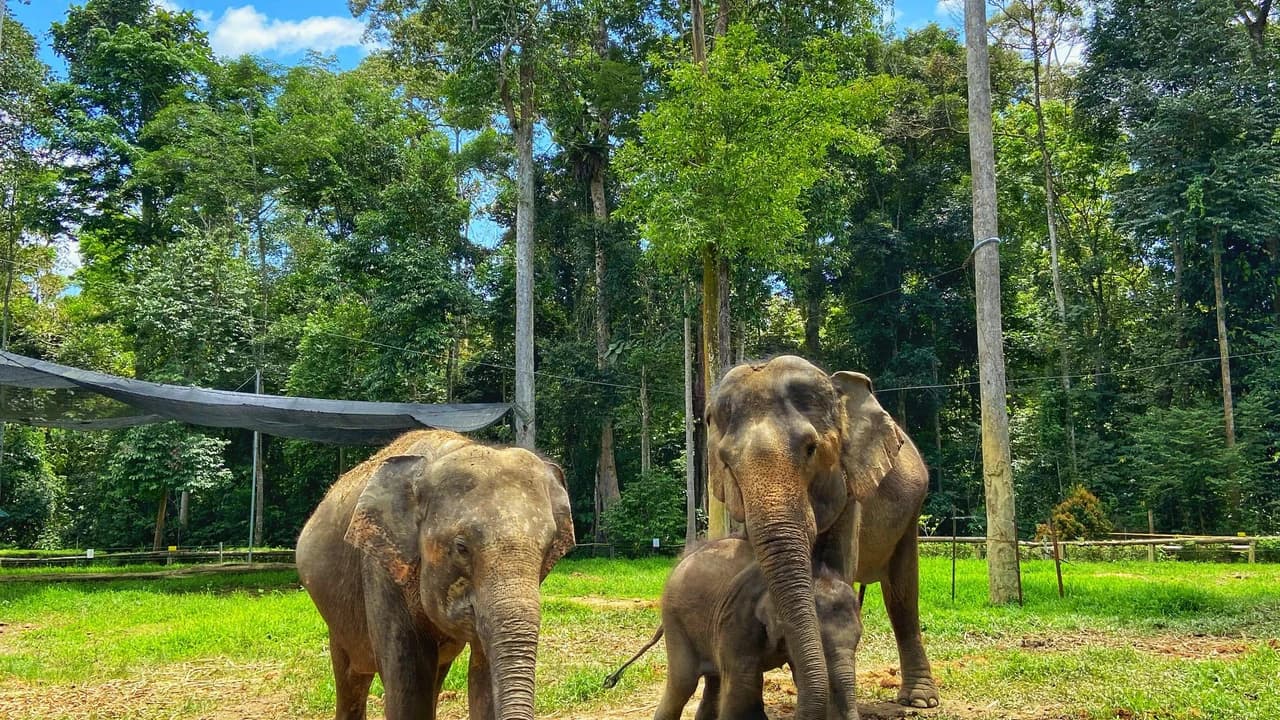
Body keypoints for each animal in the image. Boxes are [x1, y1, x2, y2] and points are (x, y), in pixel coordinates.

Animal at [296, 429, 575, 720]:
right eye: (461, 547)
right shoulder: (380, 569)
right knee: (351, 675)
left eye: (549, 548)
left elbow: (484, 675)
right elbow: (409, 686)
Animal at [604, 536, 861, 720]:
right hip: (675, 619)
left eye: (859, 638)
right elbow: (743, 686)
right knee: (683, 683)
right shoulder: (738, 619)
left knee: (713, 682)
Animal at [706, 355, 937, 716]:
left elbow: (839, 566)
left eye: (811, 448)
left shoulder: (850, 490)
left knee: (902, 595)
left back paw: (921, 700)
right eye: (726, 462)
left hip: (911, 509)